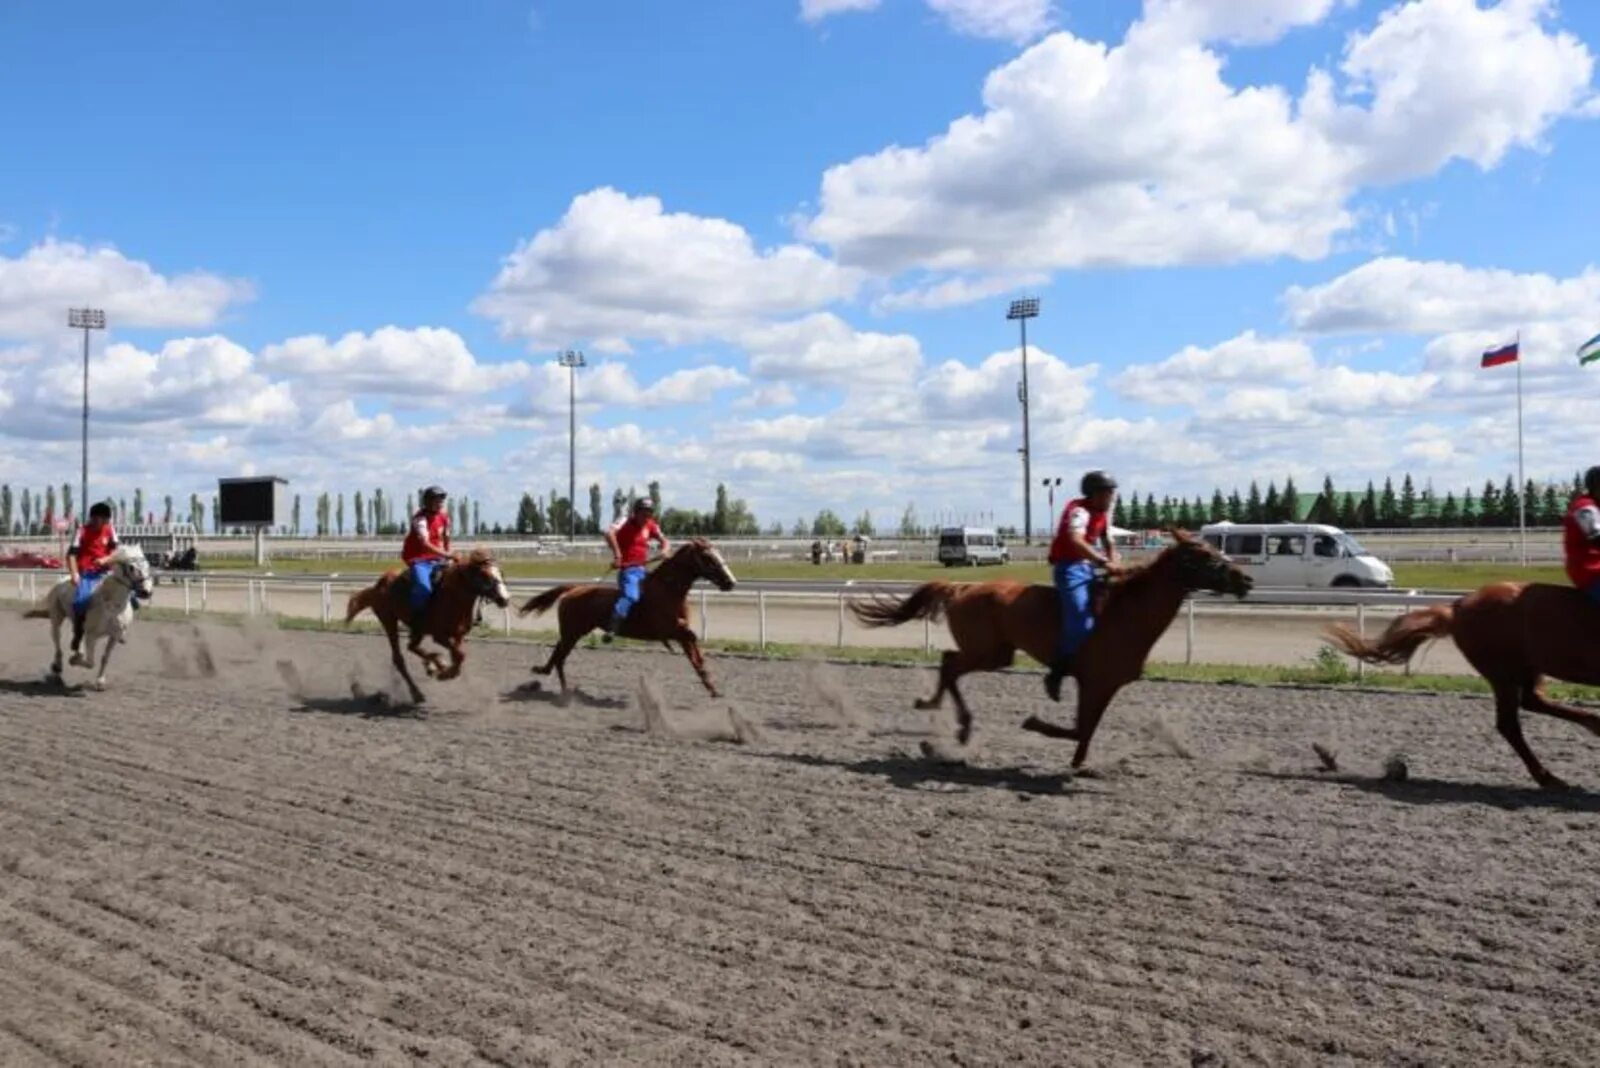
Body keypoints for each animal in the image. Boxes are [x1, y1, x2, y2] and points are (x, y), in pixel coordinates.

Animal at [24, 546, 156, 687]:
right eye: (131, 567)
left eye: (148, 564)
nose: (146, 592)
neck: (112, 605)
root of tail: (61, 581)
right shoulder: (92, 636)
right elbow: (90, 662)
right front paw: (73, 660)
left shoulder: (114, 636)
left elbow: (105, 658)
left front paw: (100, 680)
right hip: (56, 619)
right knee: (57, 641)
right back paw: (58, 666)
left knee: (76, 635)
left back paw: (76, 652)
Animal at [344, 549, 505, 709]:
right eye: (485, 575)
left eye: (500, 573)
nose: (505, 598)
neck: (452, 596)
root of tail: (377, 586)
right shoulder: (439, 636)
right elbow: (459, 656)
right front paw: (444, 674)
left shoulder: (458, 635)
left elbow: (458, 657)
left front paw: (442, 668)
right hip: (389, 621)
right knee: (399, 658)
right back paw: (417, 692)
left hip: (417, 629)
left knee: (412, 646)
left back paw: (433, 664)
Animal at [515, 537, 732, 697]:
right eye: (707, 557)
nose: (730, 582)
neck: (668, 591)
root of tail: (574, 589)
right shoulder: (668, 629)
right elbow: (691, 637)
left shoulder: (680, 632)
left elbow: (695, 657)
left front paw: (713, 688)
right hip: (572, 632)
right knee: (560, 657)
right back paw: (563, 690)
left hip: (573, 632)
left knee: (558, 655)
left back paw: (552, 679)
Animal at [851, 534, 1248, 767]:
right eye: (1207, 556)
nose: (1245, 579)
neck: (1126, 612)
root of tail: (962, 587)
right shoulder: (1096, 682)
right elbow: (1079, 729)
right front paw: (1035, 724)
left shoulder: (1106, 685)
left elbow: (1085, 731)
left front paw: (1079, 764)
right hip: (986, 651)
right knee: (950, 665)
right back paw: (951, 722)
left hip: (998, 653)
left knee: (949, 663)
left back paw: (943, 715)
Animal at [1331, 578, 1600, 789]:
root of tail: (1457, 607)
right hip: (1502, 672)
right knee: (1510, 723)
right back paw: (1549, 776)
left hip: (1525, 668)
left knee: (1531, 702)